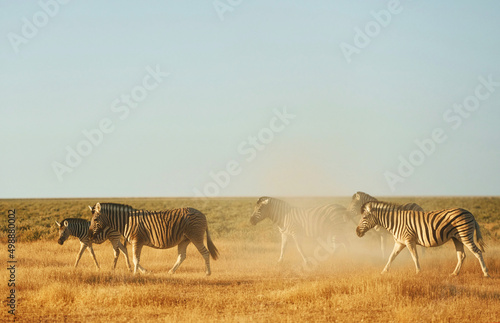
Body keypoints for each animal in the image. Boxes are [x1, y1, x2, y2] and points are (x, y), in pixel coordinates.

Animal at [87, 202, 219, 276]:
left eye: (95, 219)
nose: (89, 235)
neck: (126, 221)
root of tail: (203, 214)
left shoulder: (137, 240)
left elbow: (135, 259)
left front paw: (135, 274)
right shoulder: (137, 242)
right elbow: (135, 258)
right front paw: (140, 272)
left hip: (195, 236)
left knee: (205, 252)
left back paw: (208, 273)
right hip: (184, 239)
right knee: (182, 256)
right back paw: (171, 271)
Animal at [356, 201, 488, 278]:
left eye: (364, 217)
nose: (357, 232)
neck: (395, 222)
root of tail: (470, 214)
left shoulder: (409, 240)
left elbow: (415, 257)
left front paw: (418, 272)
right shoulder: (399, 242)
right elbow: (391, 257)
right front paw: (384, 271)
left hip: (465, 235)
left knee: (478, 252)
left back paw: (486, 273)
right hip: (457, 238)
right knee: (461, 255)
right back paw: (454, 273)